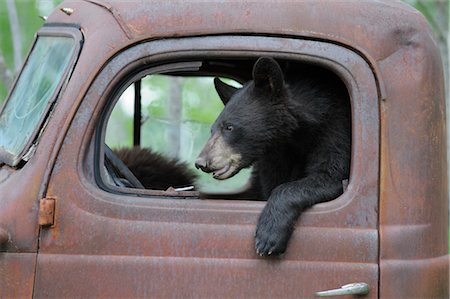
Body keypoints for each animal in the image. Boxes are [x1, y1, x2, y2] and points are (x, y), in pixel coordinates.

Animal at [195, 57, 350, 256]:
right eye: (212, 129)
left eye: (229, 127)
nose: (201, 162)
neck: (294, 135)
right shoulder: (276, 155)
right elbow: (273, 182)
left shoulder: (336, 128)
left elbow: (331, 174)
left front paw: (268, 237)